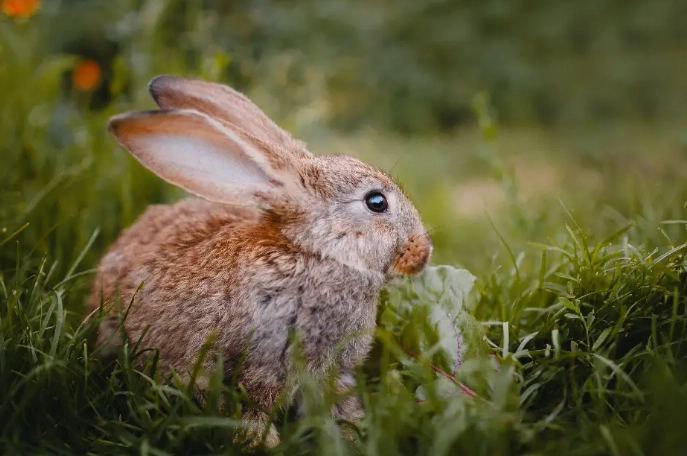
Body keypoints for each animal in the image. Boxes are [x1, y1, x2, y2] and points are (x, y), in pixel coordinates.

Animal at [86, 75, 433, 447]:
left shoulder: (336, 373)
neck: (315, 254)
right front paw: (265, 446)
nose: (423, 251)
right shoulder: (256, 368)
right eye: (376, 202)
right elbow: (251, 413)